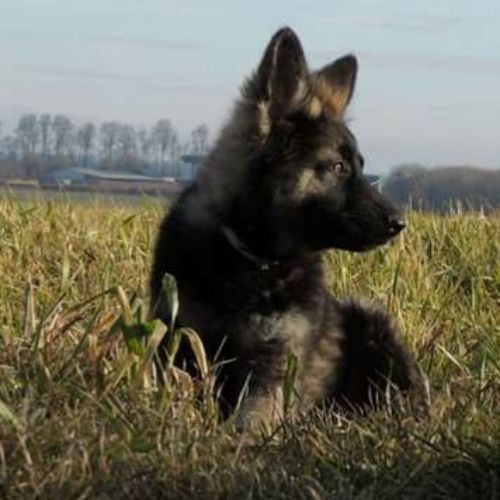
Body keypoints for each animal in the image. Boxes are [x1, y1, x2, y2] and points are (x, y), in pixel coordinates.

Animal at [150, 27, 424, 429]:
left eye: (359, 165)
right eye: (339, 167)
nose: (398, 223)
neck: (251, 260)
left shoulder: (275, 362)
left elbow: (253, 418)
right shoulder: (181, 340)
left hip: (371, 320)